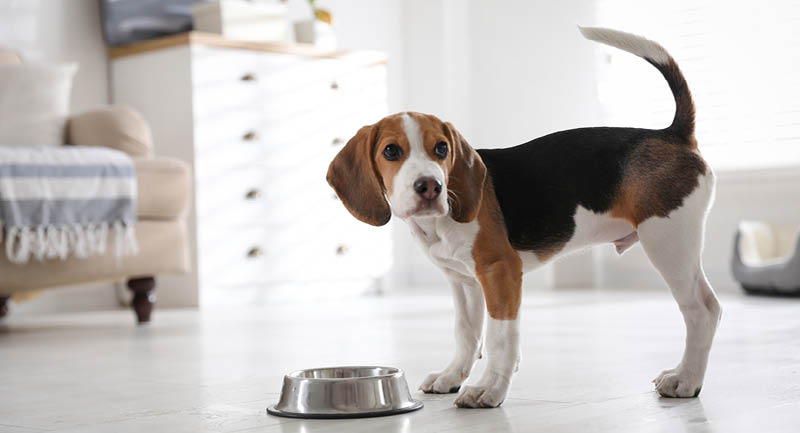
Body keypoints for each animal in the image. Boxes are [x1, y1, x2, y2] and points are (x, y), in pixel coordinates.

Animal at [328, 26, 720, 404]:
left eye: (441, 149)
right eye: (391, 151)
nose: (430, 186)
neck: (438, 223)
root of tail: (672, 135)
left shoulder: (500, 271)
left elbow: (500, 337)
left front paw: (488, 389)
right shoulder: (465, 281)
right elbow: (466, 334)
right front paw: (452, 377)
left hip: (668, 242)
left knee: (702, 311)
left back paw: (686, 380)